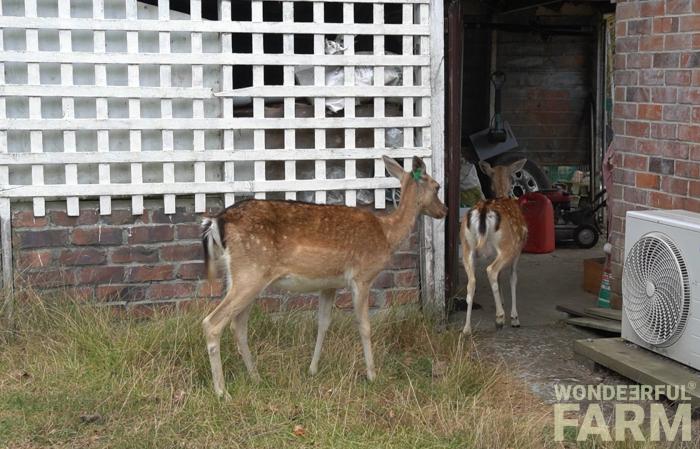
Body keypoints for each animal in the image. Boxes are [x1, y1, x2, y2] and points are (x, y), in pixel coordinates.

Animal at [200, 155, 447, 398]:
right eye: (437, 186)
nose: (444, 210)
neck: (387, 234)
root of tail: (216, 222)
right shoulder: (362, 275)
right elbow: (364, 325)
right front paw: (372, 375)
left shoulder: (329, 283)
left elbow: (323, 323)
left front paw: (312, 369)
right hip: (250, 272)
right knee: (212, 322)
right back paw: (222, 392)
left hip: (243, 276)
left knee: (238, 325)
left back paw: (255, 377)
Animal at [459, 159, 528, 335]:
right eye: (513, 176)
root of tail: (483, 210)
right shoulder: (518, 251)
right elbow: (512, 278)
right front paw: (515, 318)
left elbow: (501, 278)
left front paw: (502, 302)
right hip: (507, 245)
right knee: (491, 270)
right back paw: (499, 318)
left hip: (466, 247)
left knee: (472, 282)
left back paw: (467, 329)